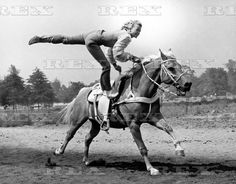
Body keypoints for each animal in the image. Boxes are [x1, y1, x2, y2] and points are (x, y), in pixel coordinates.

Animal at [53, 49, 192, 175]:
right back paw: (59, 151)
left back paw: (86, 160)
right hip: (77, 120)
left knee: (88, 138)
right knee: (69, 134)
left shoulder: (154, 117)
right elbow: (142, 147)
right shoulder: (133, 124)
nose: (188, 83)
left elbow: (168, 128)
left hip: (96, 124)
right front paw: (151, 168)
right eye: (171, 68)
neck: (139, 92)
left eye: (180, 66)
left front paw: (180, 149)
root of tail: (83, 92)